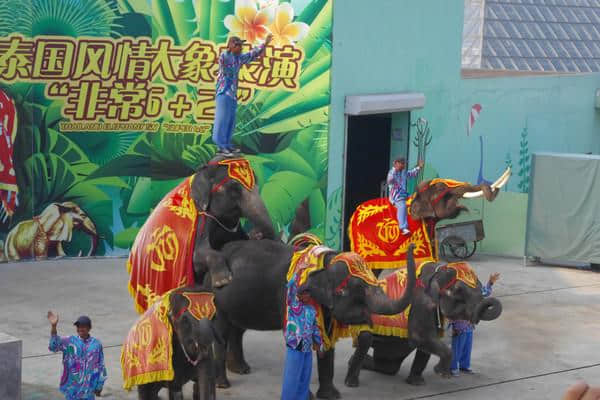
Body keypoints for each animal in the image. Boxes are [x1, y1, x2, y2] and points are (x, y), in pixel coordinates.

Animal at [209, 239, 414, 398]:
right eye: (357, 288)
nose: (411, 245)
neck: (325, 263)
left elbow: (327, 342)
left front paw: (331, 396)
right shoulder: (290, 297)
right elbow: (299, 341)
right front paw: (306, 396)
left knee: (237, 330)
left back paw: (241, 370)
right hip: (217, 297)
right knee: (222, 332)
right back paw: (223, 384)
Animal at [342, 260, 502, 390]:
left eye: (480, 287)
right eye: (459, 291)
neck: (439, 269)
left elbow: (427, 340)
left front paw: (418, 383)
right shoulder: (422, 302)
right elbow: (421, 336)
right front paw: (441, 373)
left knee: (389, 364)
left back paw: (353, 362)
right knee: (366, 339)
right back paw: (351, 382)